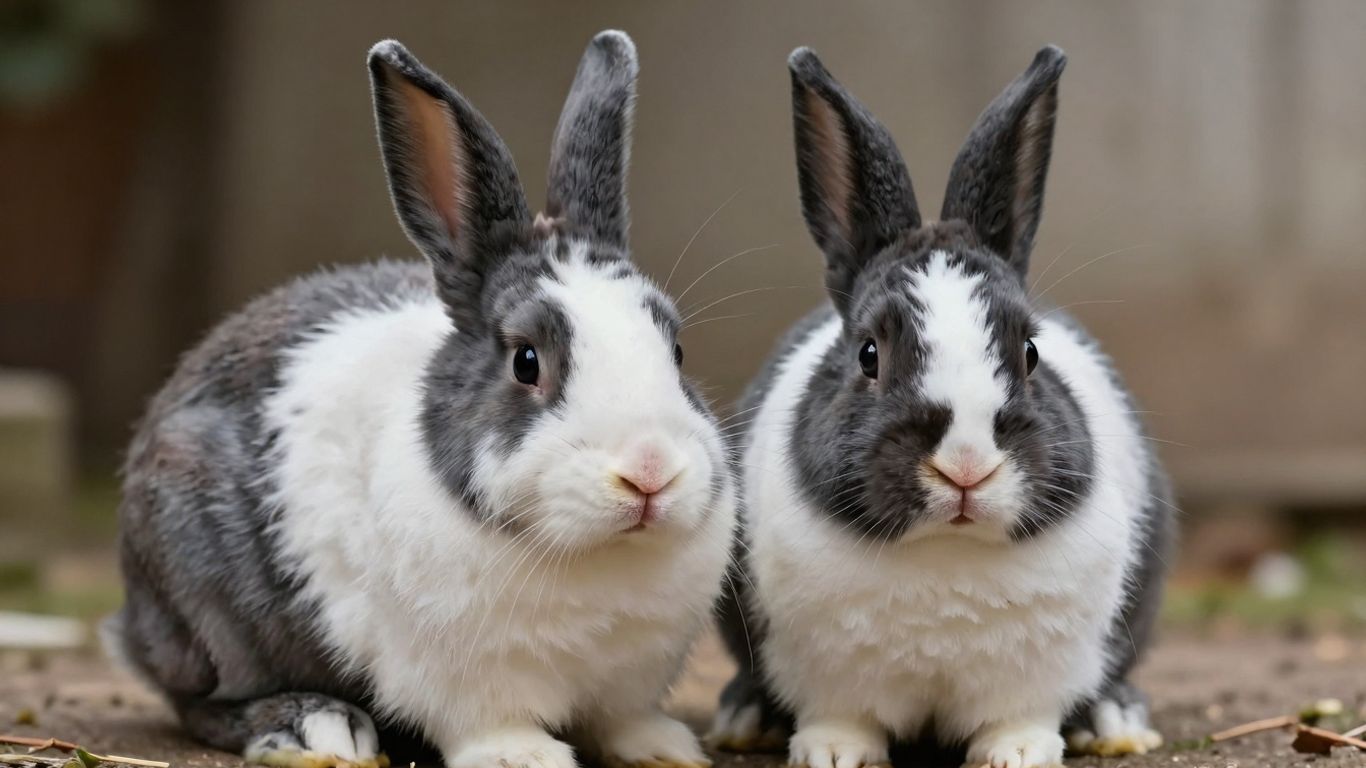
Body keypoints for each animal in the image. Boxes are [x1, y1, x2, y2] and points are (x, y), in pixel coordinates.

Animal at [106, 31, 736, 768]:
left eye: (676, 350)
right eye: (527, 361)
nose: (649, 472)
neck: (591, 554)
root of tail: (131, 621)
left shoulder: (628, 679)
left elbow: (623, 719)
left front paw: (665, 749)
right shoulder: (463, 677)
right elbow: (489, 720)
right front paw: (525, 756)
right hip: (204, 601)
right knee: (201, 701)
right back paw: (314, 726)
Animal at [707, 45, 1175, 768]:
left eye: (1030, 351)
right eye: (869, 354)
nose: (965, 466)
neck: (943, 550)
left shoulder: (1038, 674)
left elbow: (1021, 718)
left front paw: (1017, 755)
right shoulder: (826, 675)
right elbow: (841, 717)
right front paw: (833, 754)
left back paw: (1115, 722)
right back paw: (743, 718)